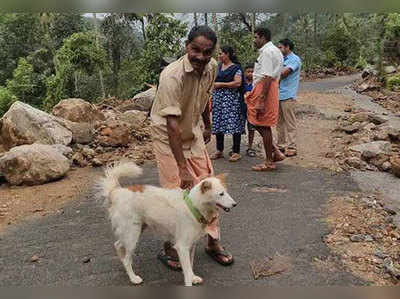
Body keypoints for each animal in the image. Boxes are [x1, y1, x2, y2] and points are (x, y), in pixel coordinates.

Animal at [100, 163, 238, 288]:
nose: (235, 204)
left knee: (118, 245)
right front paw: (190, 282)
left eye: (226, 192)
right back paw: (133, 278)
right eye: (221, 194)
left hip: (134, 230)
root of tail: (116, 191)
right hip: (132, 236)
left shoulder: (191, 245)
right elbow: (187, 272)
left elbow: (190, 266)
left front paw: (193, 277)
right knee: (127, 258)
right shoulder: (182, 247)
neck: (193, 206)